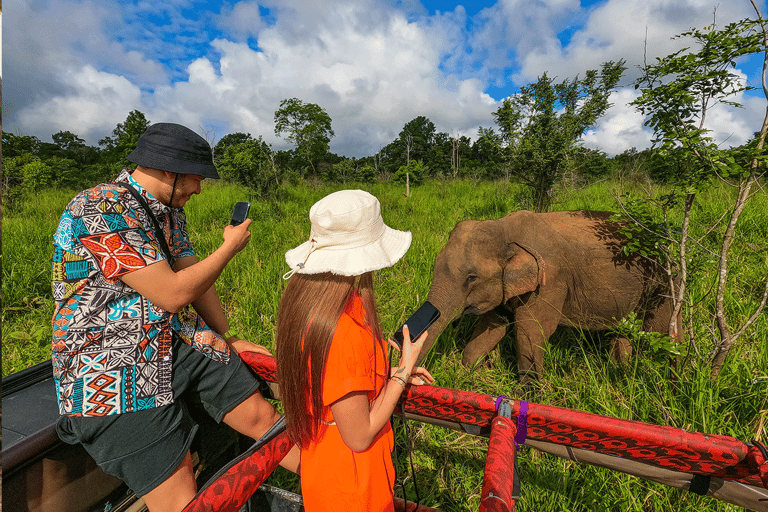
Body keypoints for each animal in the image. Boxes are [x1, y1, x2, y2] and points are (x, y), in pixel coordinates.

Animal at [420, 208, 684, 380]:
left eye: (471, 277)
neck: (504, 227)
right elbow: (493, 326)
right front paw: (467, 375)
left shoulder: (550, 280)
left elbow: (532, 331)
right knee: (624, 332)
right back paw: (622, 372)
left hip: (664, 284)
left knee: (663, 333)